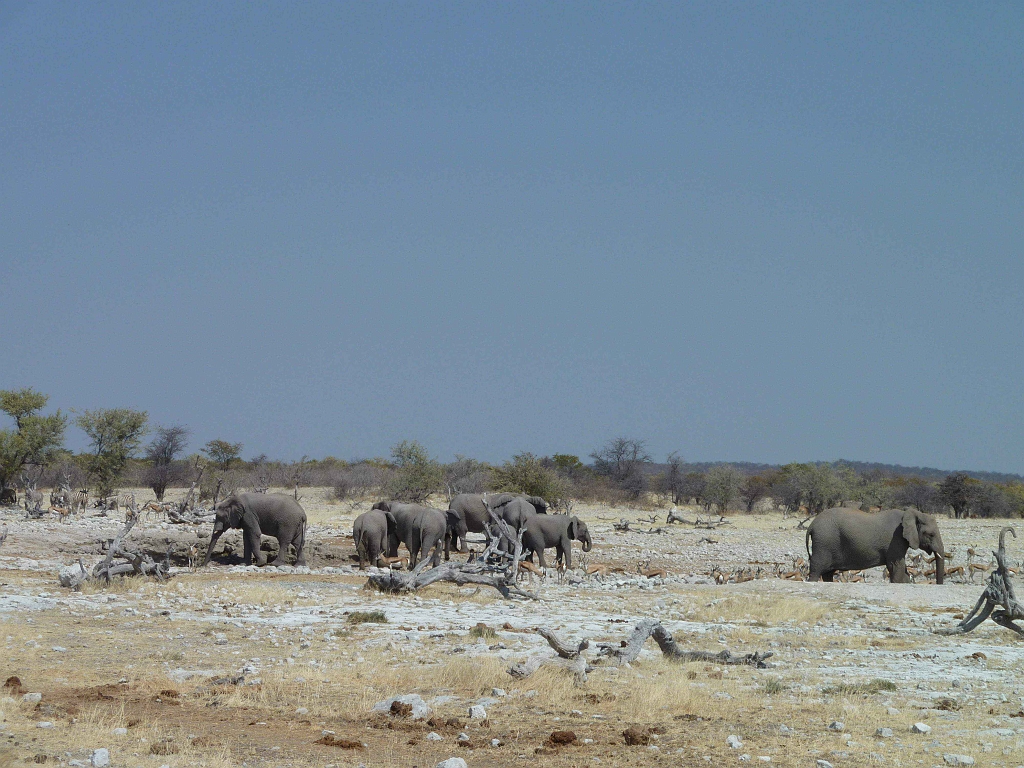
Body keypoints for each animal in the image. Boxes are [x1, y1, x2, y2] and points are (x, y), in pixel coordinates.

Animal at [802, 507, 946, 585]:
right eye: (931, 534)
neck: (912, 514)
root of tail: (811, 526)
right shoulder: (895, 539)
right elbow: (896, 566)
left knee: (828, 574)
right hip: (823, 543)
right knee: (817, 570)